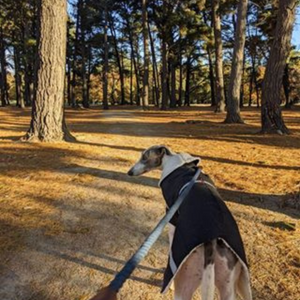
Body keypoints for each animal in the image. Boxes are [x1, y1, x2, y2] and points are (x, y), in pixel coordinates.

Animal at [127, 146, 252, 300]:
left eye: (144, 157)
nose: (129, 172)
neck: (177, 162)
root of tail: (211, 240)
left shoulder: (172, 216)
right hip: (229, 286)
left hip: (185, 284)